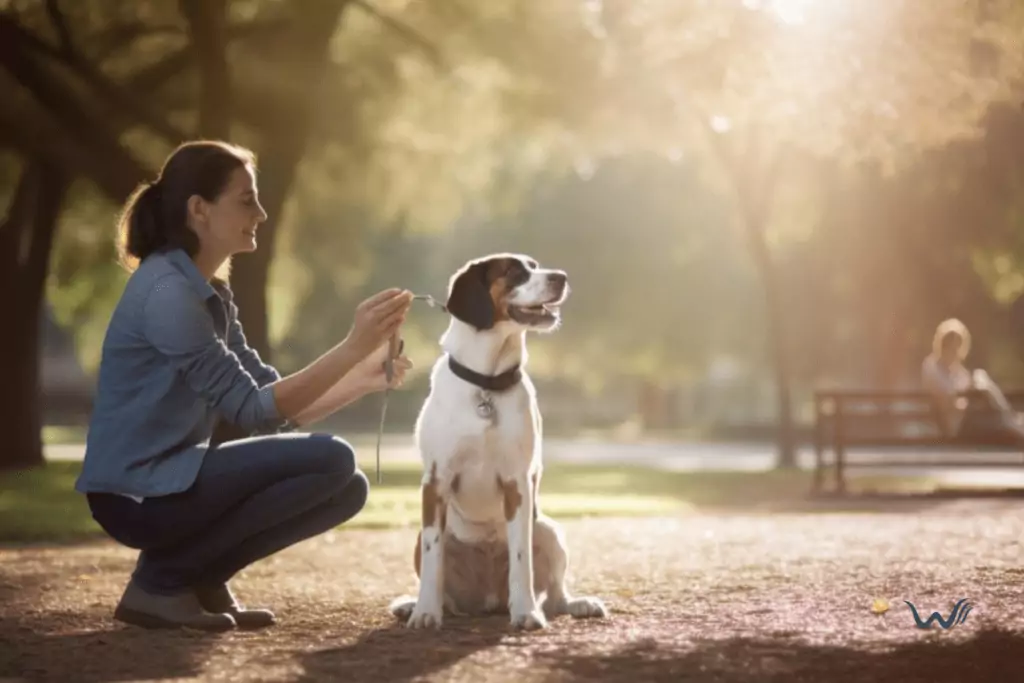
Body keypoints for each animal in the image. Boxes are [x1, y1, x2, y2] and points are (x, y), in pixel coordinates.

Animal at [387, 252, 602, 630]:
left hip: (548, 529)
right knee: (440, 582)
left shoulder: (518, 483)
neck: (486, 383)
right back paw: (413, 605)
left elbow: (521, 560)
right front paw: (425, 613)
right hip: (420, 536)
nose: (561, 277)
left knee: (556, 595)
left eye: (536, 265)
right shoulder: (435, 482)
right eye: (514, 271)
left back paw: (577, 604)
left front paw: (526, 612)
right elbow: (432, 558)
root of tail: (485, 601)